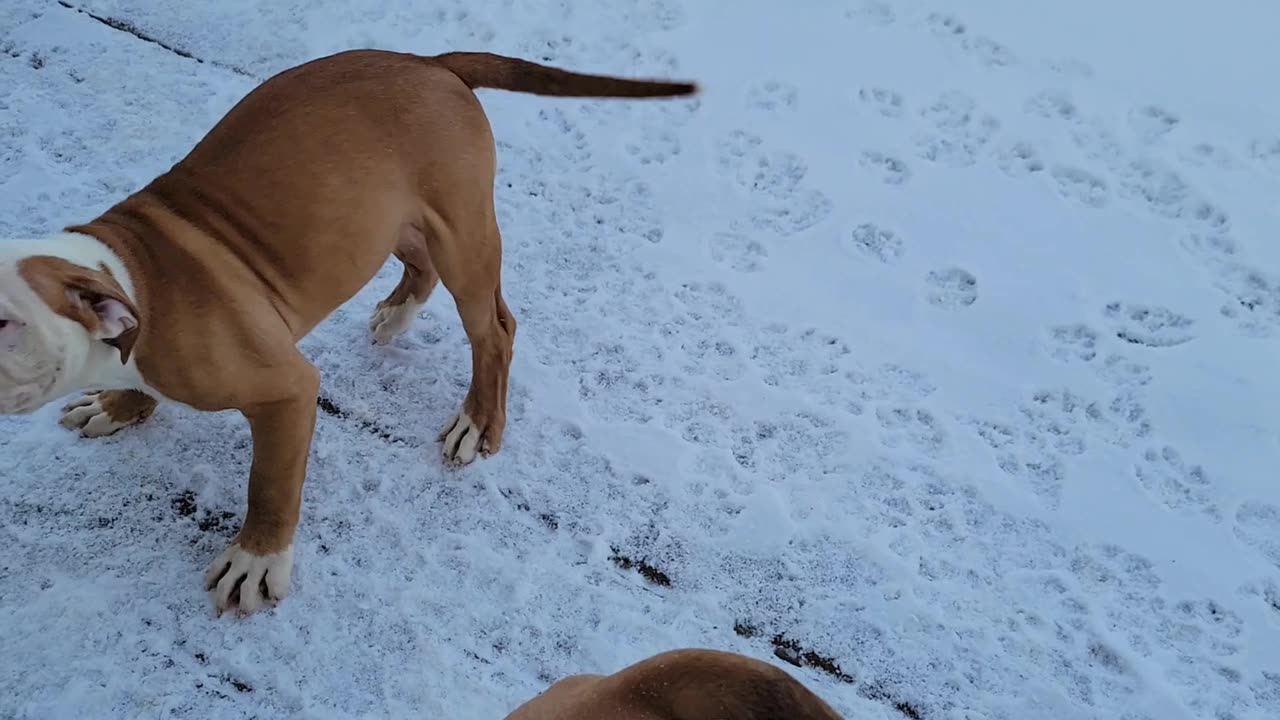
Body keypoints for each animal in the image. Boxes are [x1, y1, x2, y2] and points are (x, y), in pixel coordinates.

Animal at [0, 49, 696, 609]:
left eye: (3, 320)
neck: (127, 273)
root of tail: (429, 61)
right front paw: (118, 406)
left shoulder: (285, 390)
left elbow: (269, 485)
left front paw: (256, 561)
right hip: (387, 217)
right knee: (420, 265)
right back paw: (398, 313)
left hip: (462, 230)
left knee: (494, 328)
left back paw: (477, 420)